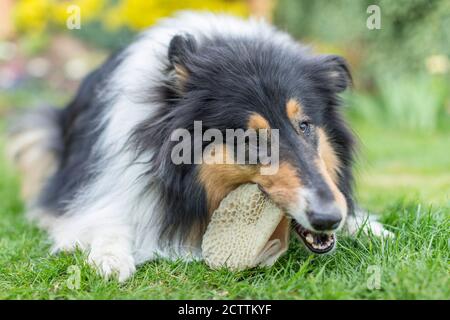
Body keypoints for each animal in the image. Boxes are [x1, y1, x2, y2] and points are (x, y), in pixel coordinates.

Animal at [7, 11, 390, 282]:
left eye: (305, 125)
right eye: (248, 138)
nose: (328, 218)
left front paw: (369, 227)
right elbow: (107, 217)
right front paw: (109, 258)